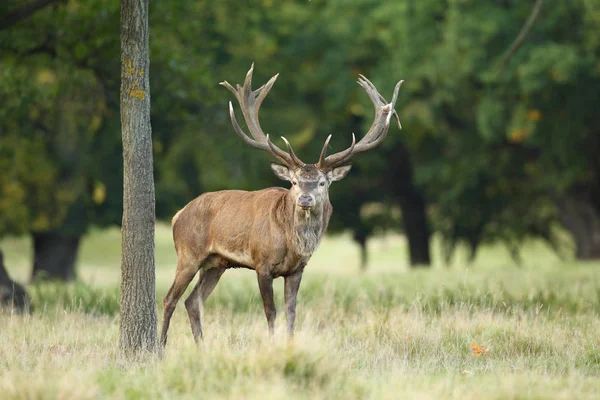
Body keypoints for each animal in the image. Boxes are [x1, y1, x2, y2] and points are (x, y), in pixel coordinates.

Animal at [161, 65, 404, 346]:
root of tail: (177, 215)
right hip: (189, 253)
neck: (292, 244)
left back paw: (202, 347)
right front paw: (272, 345)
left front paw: (289, 344)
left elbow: (291, 311)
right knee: (170, 299)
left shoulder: (297, 270)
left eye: (322, 182)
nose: (305, 199)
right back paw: (160, 347)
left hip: (216, 263)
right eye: (295, 182)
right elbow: (271, 311)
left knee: (192, 301)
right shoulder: (262, 263)